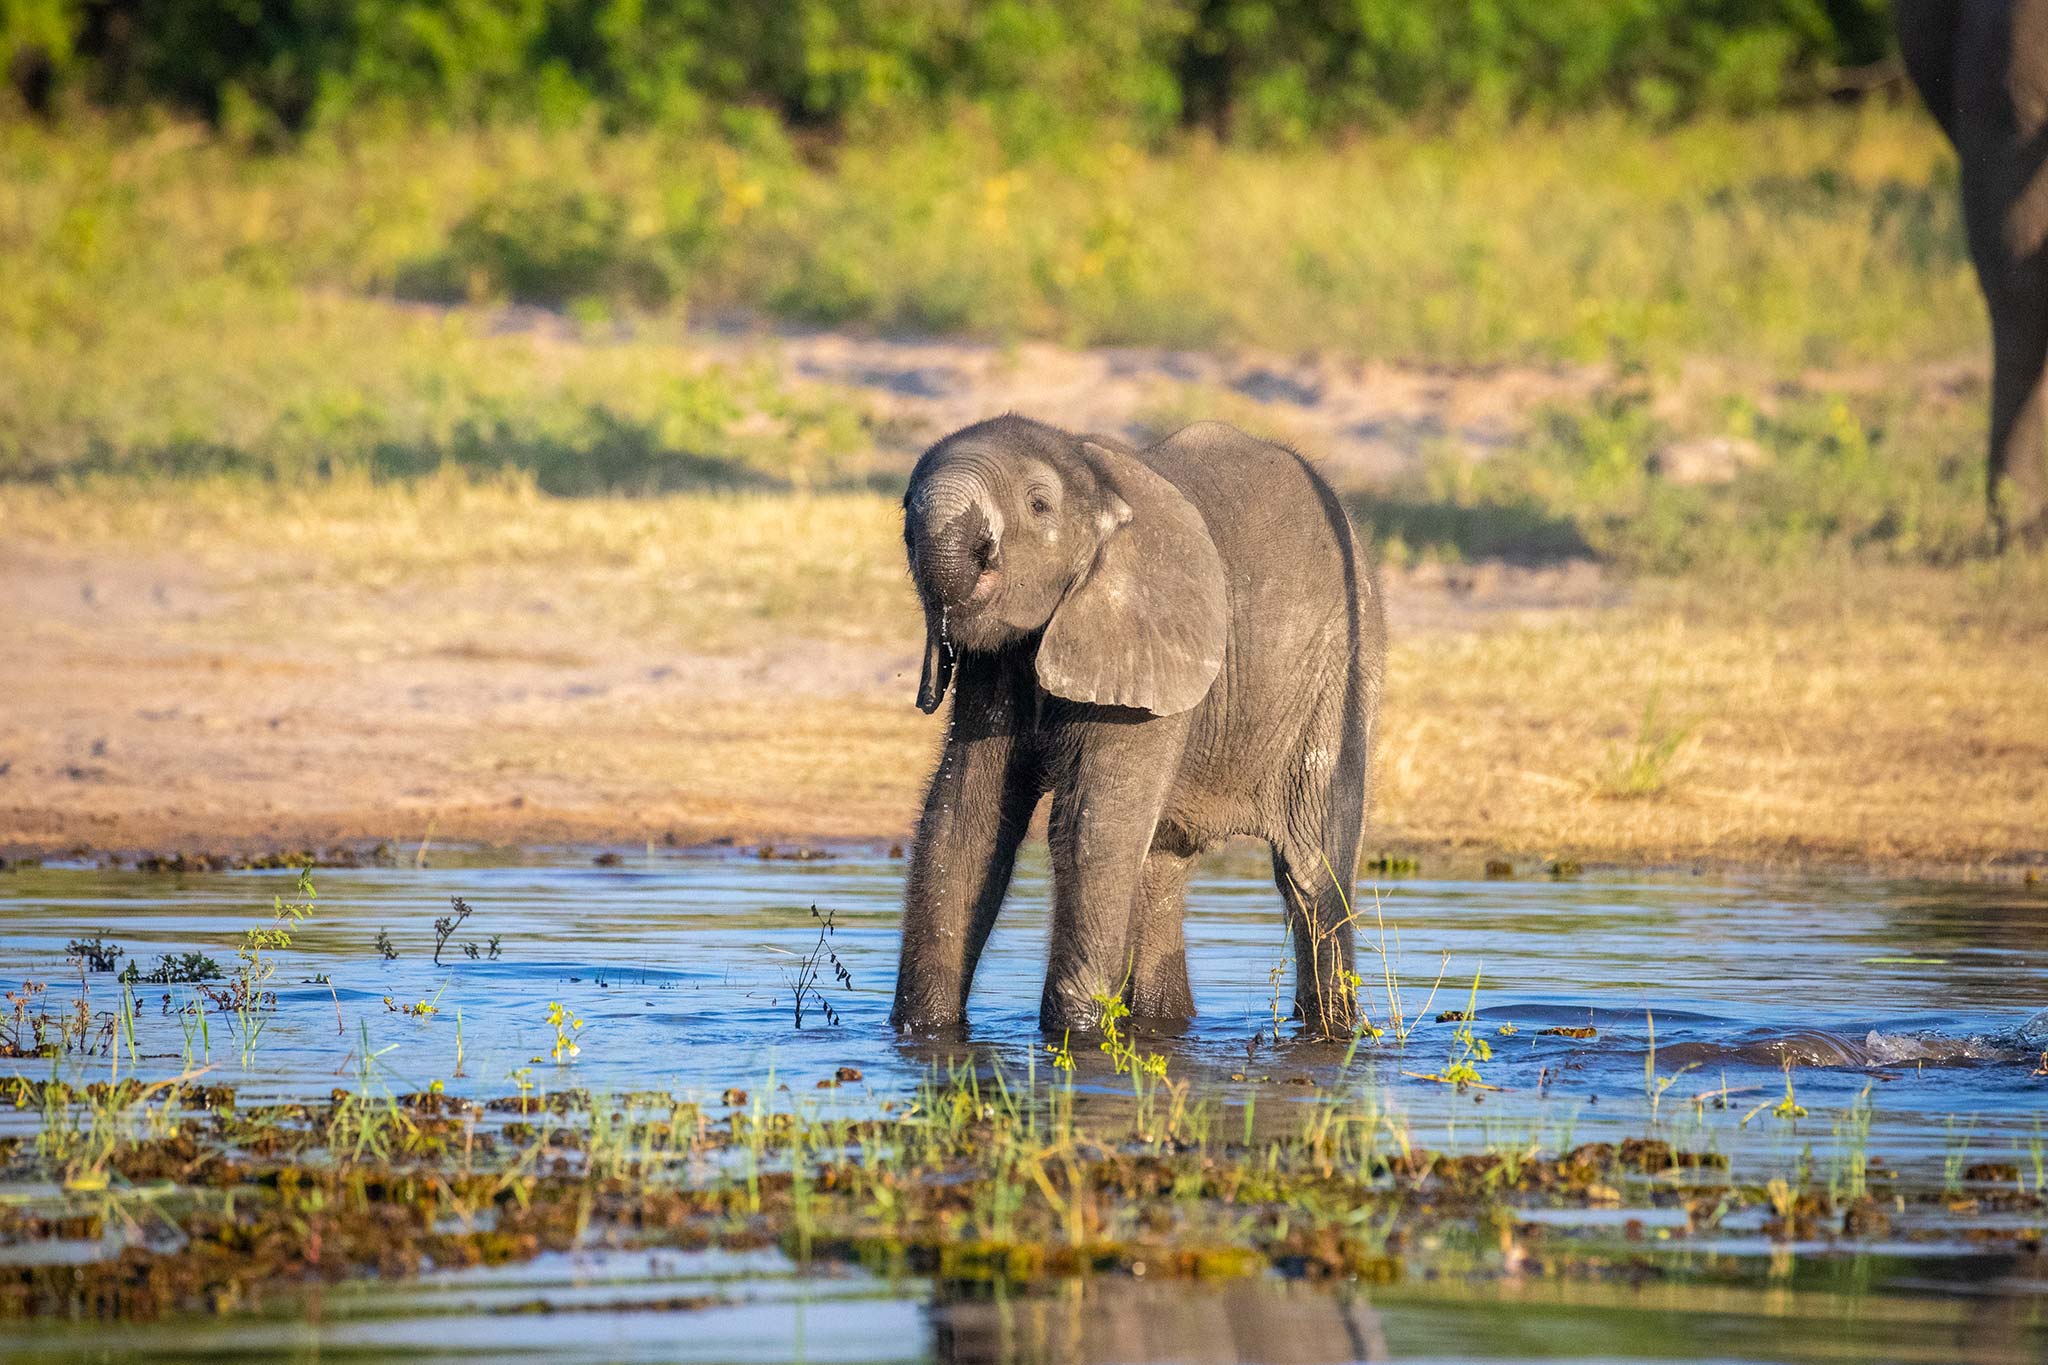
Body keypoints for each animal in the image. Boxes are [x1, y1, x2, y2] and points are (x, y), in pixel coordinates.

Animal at [888, 417, 1384, 1035]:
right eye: (904, 506)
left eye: (1039, 504)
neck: (1098, 484)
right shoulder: (996, 663)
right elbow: (963, 820)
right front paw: (924, 1032)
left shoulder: (1148, 651)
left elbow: (1091, 826)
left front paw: (1075, 1036)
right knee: (1160, 867)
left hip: (1340, 674)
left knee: (1314, 873)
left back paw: (1332, 1032)